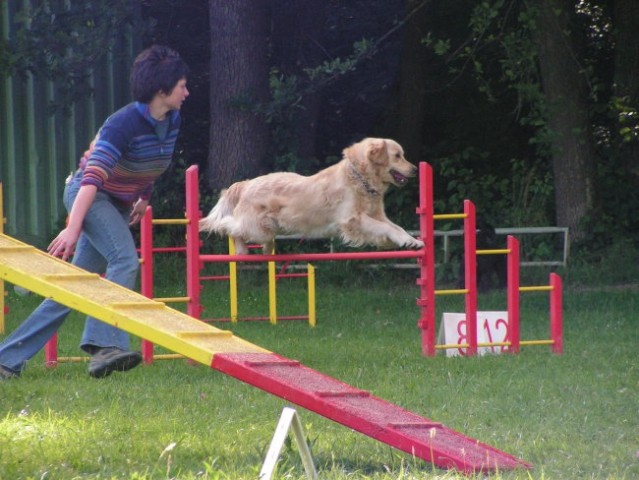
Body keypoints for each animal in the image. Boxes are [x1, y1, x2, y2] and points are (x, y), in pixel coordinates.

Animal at [198, 137, 422, 253]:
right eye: (397, 156)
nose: (415, 169)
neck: (360, 178)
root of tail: (246, 184)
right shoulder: (352, 219)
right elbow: (385, 227)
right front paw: (403, 240)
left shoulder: (376, 215)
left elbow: (395, 227)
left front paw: (411, 241)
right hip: (257, 227)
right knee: (228, 226)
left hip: (267, 229)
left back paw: (265, 250)